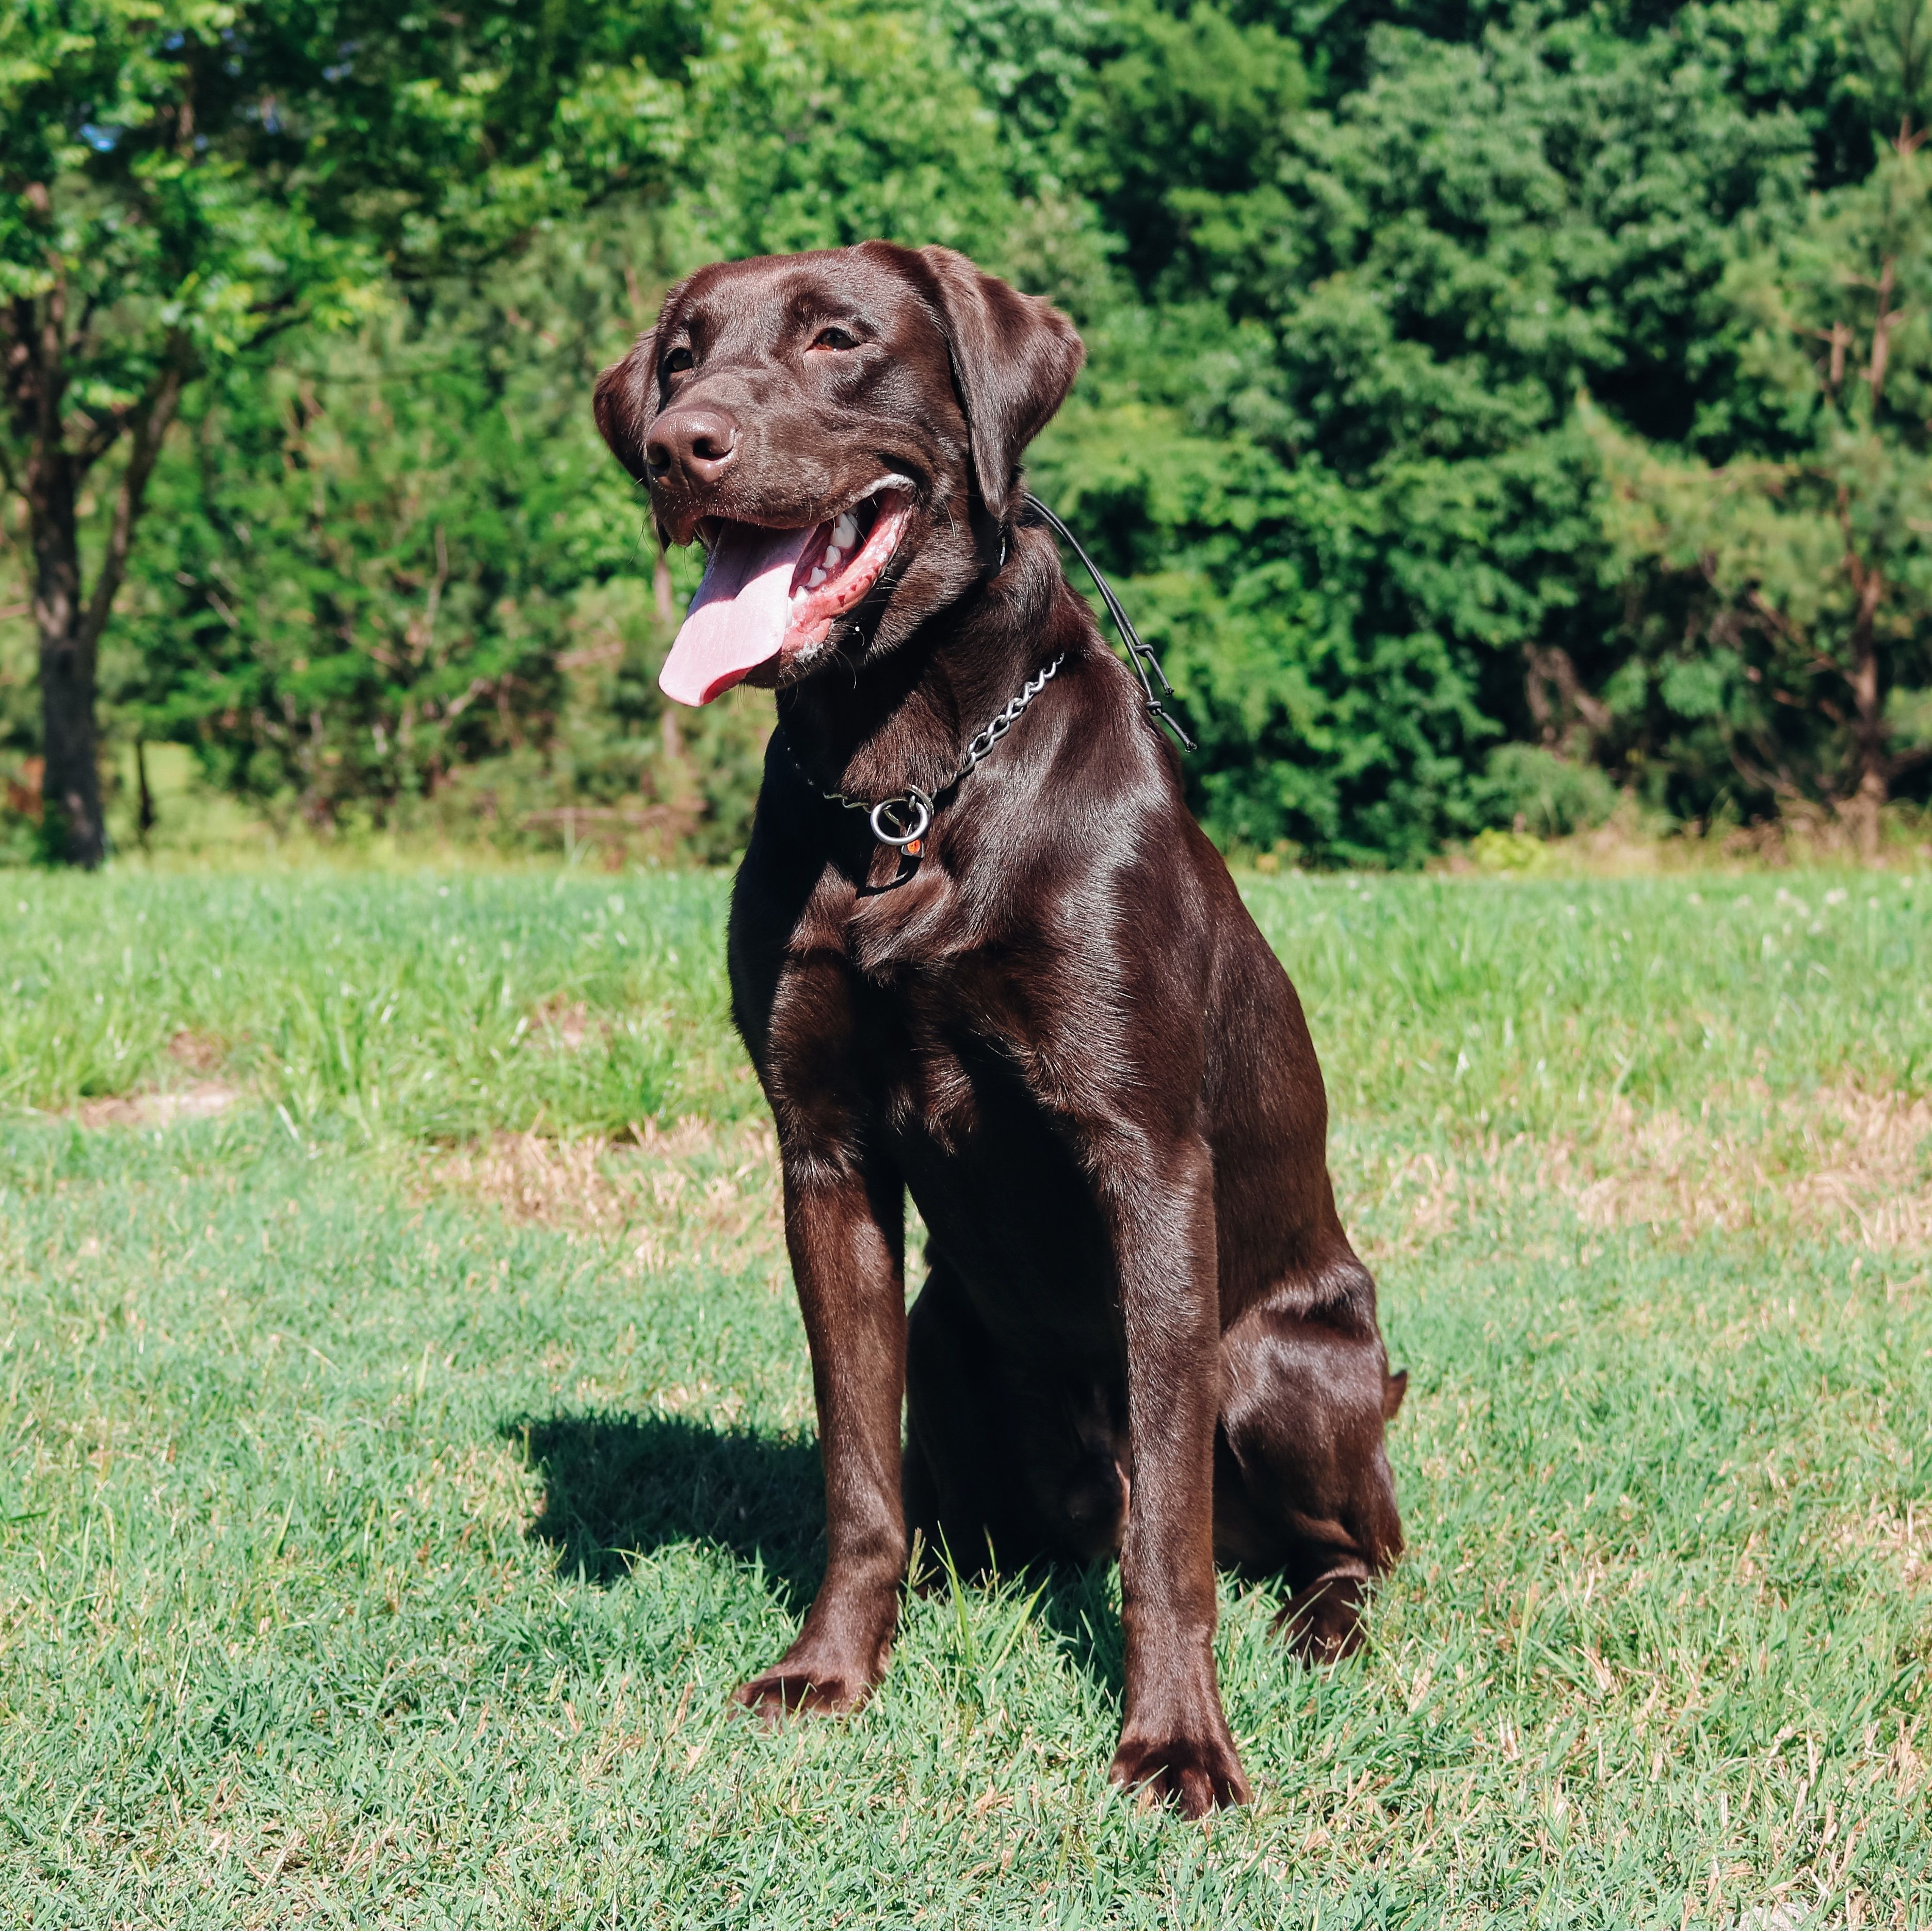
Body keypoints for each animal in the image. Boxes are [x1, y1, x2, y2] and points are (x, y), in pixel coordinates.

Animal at [591, 237, 1406, 1807]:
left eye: (839, 337)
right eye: (680, 356)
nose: (677, 446)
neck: (906, 785)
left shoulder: (1144, 1154)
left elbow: (1170, 1529)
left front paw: (1176, 1740)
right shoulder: (824, 1155)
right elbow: (856, 1474)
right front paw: (828, 1667)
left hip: (1294, 1360)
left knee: (1349, 1540)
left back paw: (1324, 1621)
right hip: (949, 1336)